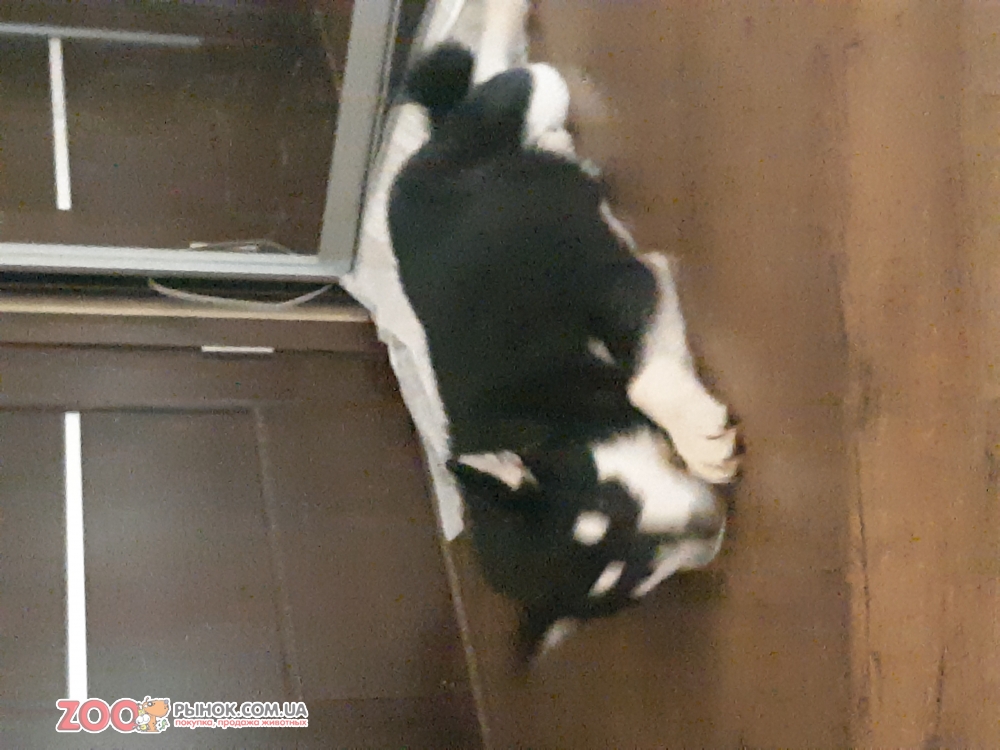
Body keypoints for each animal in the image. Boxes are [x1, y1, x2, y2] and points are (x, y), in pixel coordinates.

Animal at [388, 42, 739, 661]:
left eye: (616, 504)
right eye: (633, 586)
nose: (708, 526)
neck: (550, 419)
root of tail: (426, 149)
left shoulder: (620, 282)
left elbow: (643, 381)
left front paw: (697, 439)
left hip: (531, 92)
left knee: (505, 73)